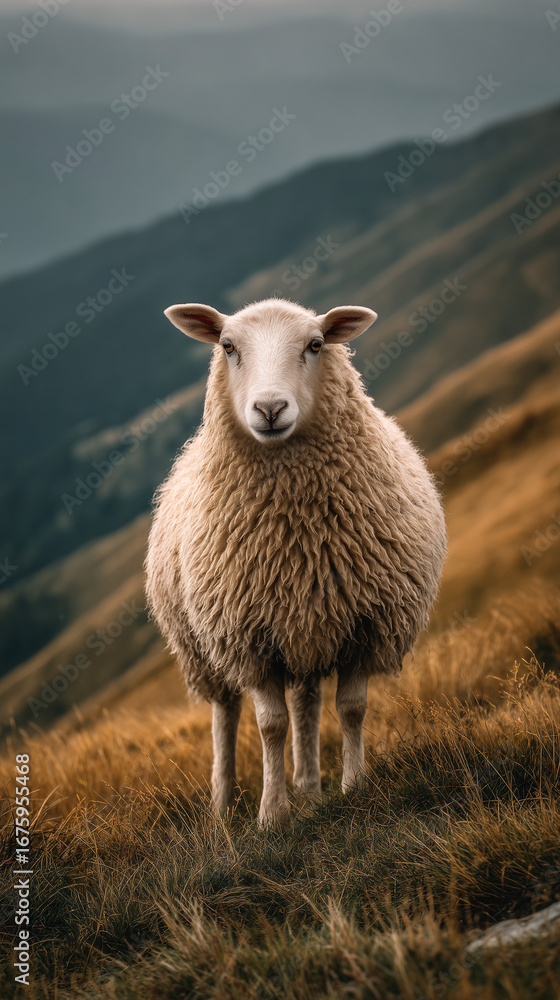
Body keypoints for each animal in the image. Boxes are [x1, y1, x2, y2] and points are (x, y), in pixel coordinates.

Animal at [145, 298, 446, 825]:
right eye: (228, 346)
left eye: (316, 344)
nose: (269, 409)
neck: (298, 534)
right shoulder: (248, 636)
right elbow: (269, 725)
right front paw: (272, 814)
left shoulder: (364, 624)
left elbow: (350, 708)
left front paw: (354, 787)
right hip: (203, 647)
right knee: (225, 713)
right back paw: (224, 806)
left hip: (305, 627)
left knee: (306, 701)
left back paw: (309, 789)